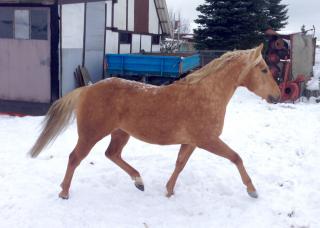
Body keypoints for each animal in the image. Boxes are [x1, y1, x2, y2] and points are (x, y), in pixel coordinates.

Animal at [29, 43, 280, 199]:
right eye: (264, 70)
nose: (277, 96)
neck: (205, 94)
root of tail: (87, 89)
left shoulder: (192, 142)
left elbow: (180, 164)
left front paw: (169, 191)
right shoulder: (208, 140)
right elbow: (236, 158)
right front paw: (252, 190)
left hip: (121, 133)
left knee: (112, 154)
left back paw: (139, 181)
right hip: (91, 134)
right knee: (75, 158)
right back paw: (64, 193)